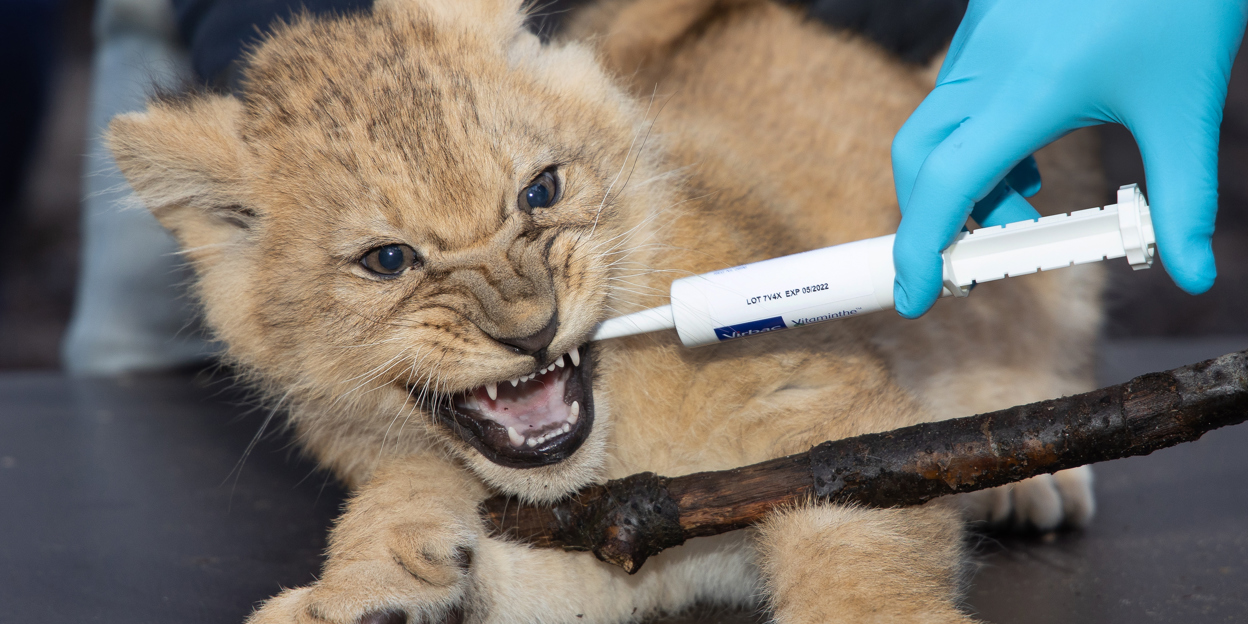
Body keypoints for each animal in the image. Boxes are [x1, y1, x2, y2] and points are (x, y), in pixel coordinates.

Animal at [105, 0, 1105, 621]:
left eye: (540, 191)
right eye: (387, 261)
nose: (530, 329)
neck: (614, 455)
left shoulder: (825, 407)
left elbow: (859, 546)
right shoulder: (596, 563)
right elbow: (405, 495)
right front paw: (363, 588)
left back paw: (1027, 471)